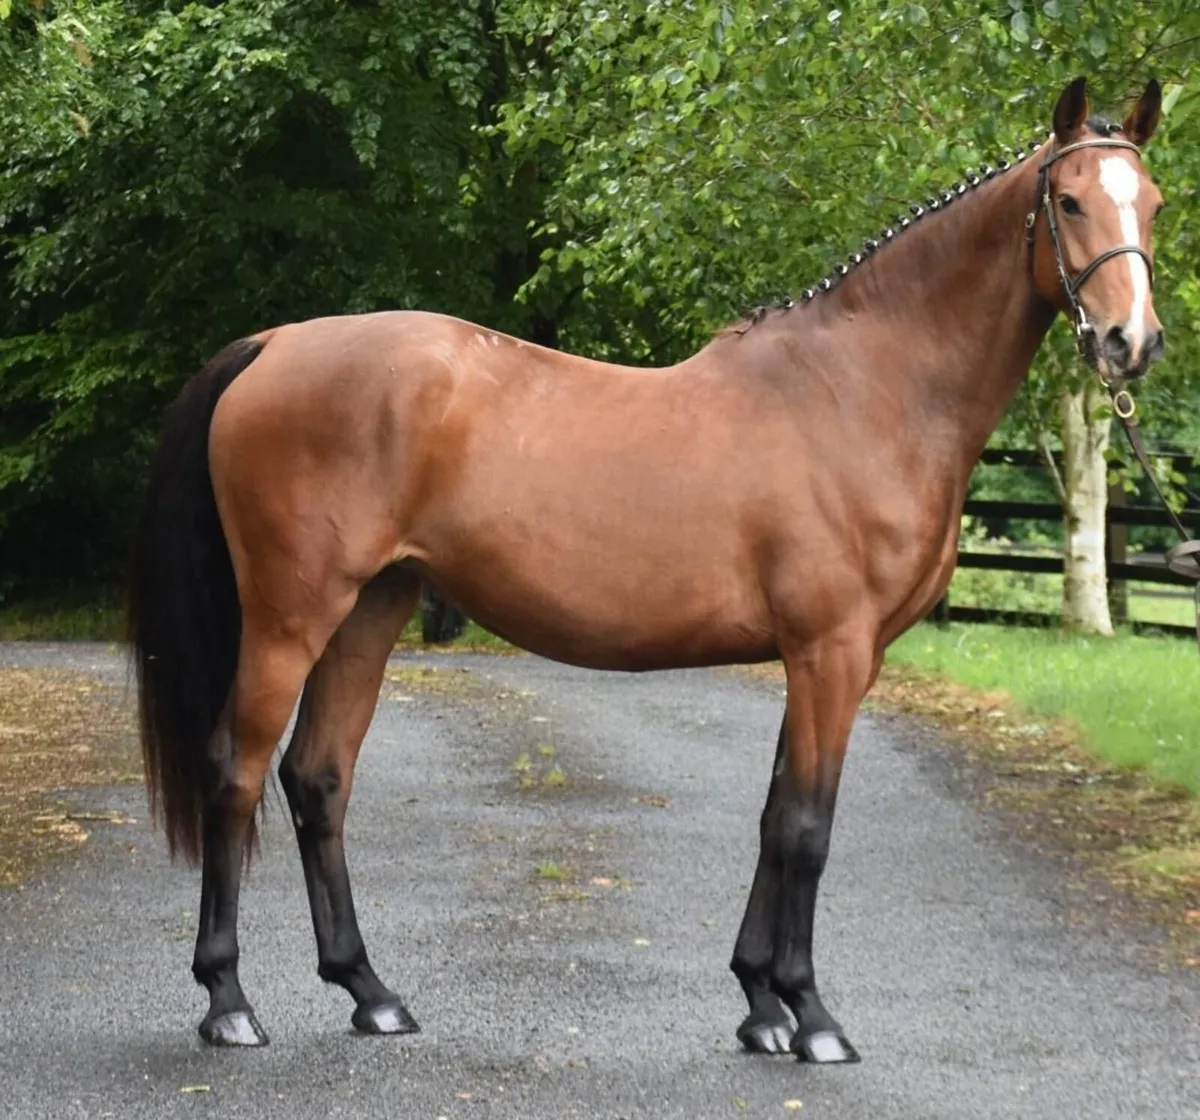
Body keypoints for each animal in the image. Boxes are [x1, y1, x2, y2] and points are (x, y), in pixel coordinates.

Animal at [128, 76, 1166, 1061]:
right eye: (1070, 200)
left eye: (1151, 201)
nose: (1133, 343)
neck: (865, 391)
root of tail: (275, 344)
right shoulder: (831, 653)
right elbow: (808, 828)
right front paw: (812, 1016)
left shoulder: (822, 659)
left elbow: (774, 816)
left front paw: (760, 1006)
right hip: (291, 618)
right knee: (236, 772)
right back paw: (228, 1003)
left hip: (370, 612)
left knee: (318, 779)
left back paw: (370, 992)